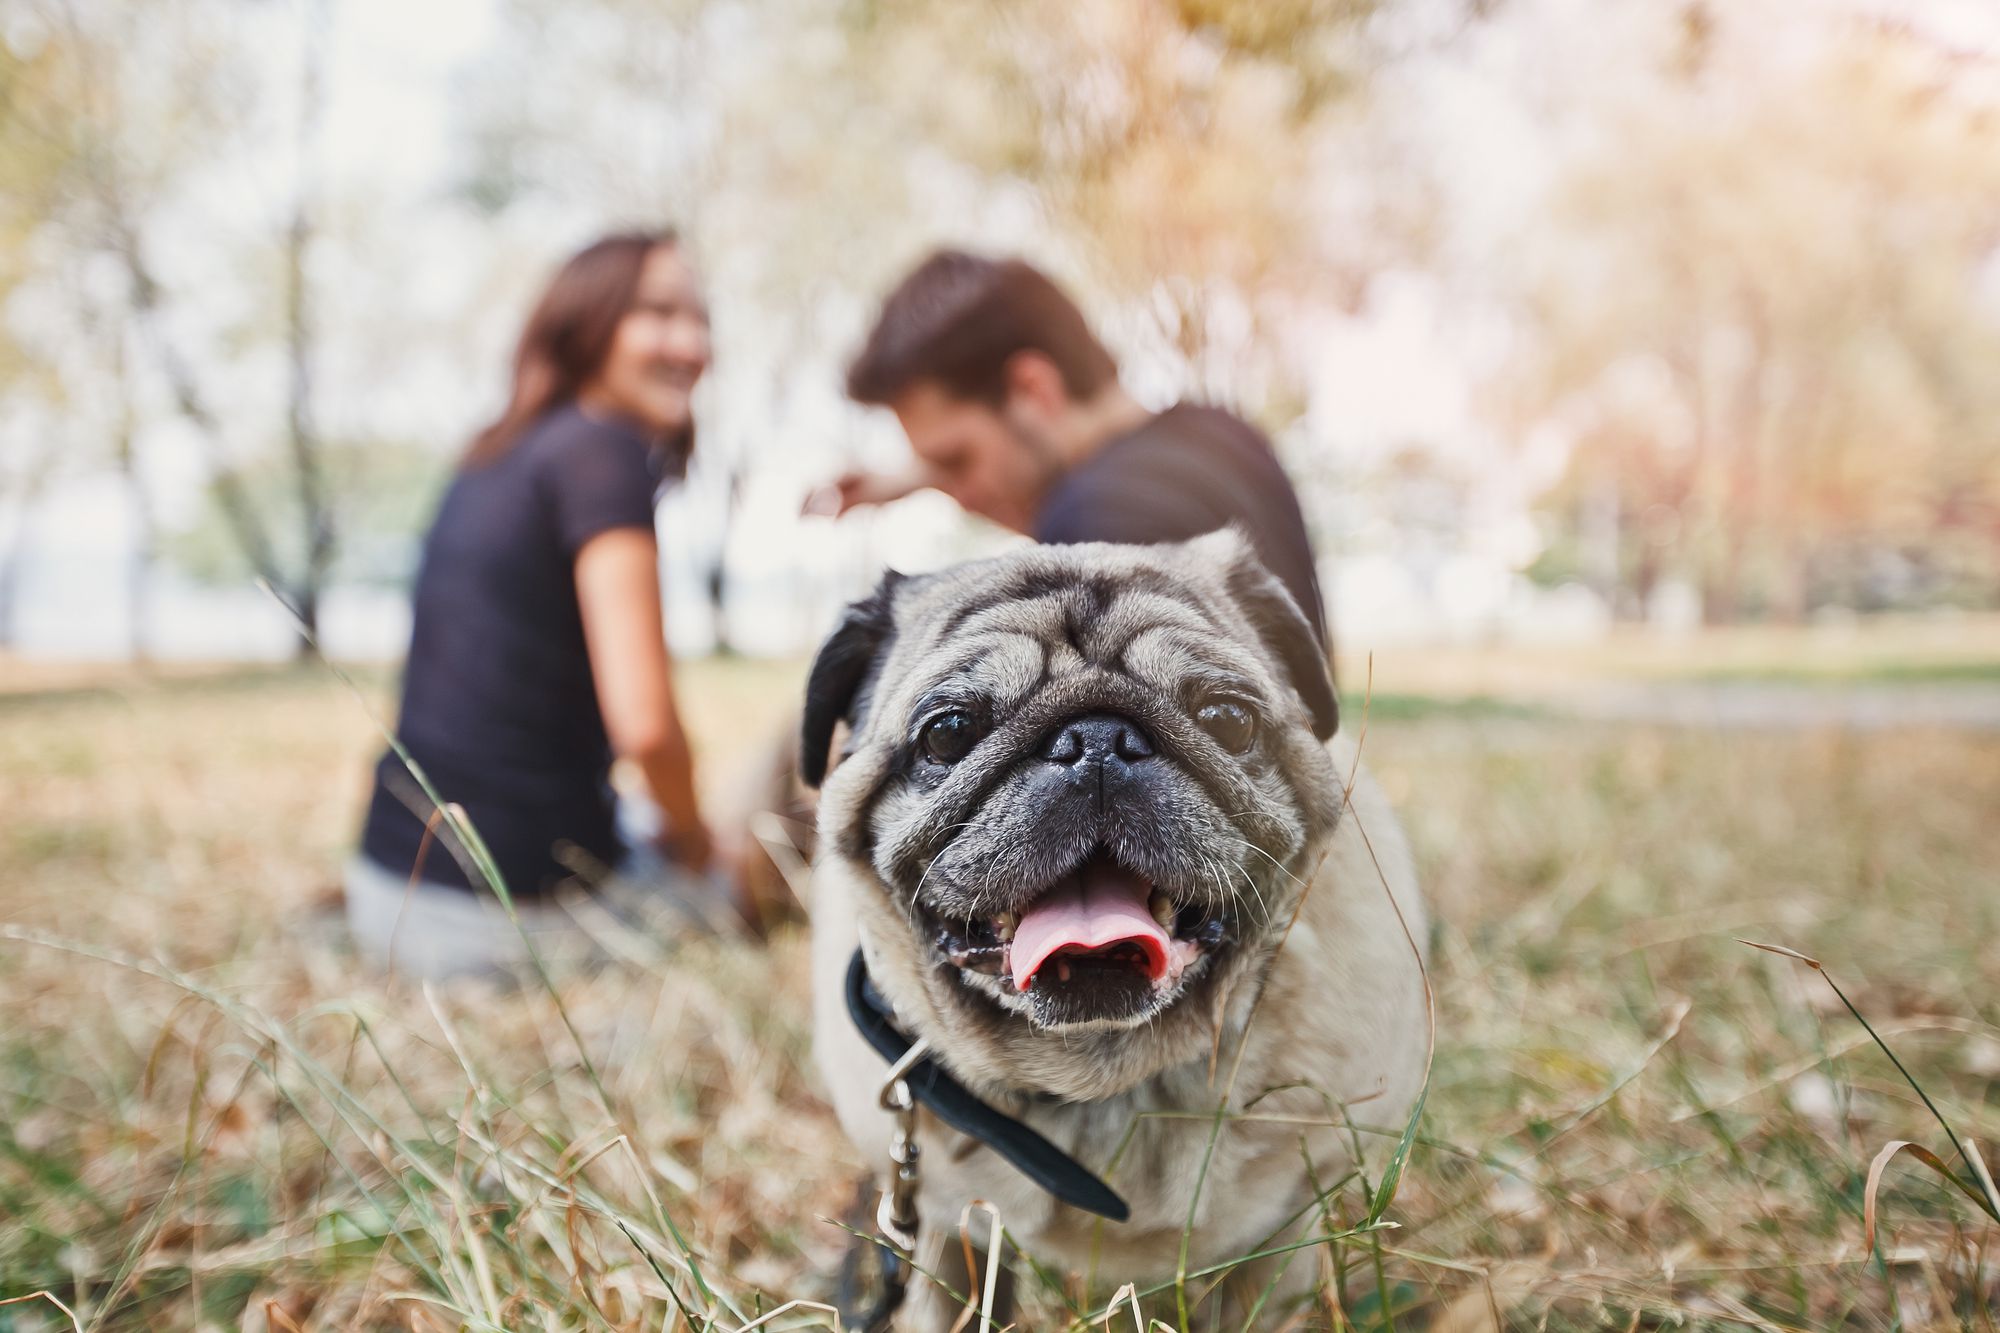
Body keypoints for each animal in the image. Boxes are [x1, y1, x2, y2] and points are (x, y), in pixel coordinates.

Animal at [804, 532, 1432, 1328]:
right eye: (947, 732)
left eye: (1228, 719)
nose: (1095, 738)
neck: (1102, 1078)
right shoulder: (946, 1231)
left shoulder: (1281, 1238)